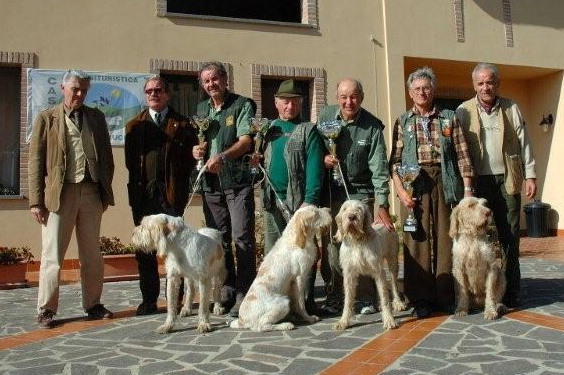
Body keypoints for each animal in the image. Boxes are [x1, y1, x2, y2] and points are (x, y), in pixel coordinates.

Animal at [332, 201, 404, 330]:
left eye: (359, 209)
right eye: (345, 209)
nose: (352, 217)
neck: (356, 241)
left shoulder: (379, 271)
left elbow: (385, 298)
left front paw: (389, 319)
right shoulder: (349, 274)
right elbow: (348, 299)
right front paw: (343, 321)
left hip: (392, 262)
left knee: (394, 284)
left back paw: (397, 302)